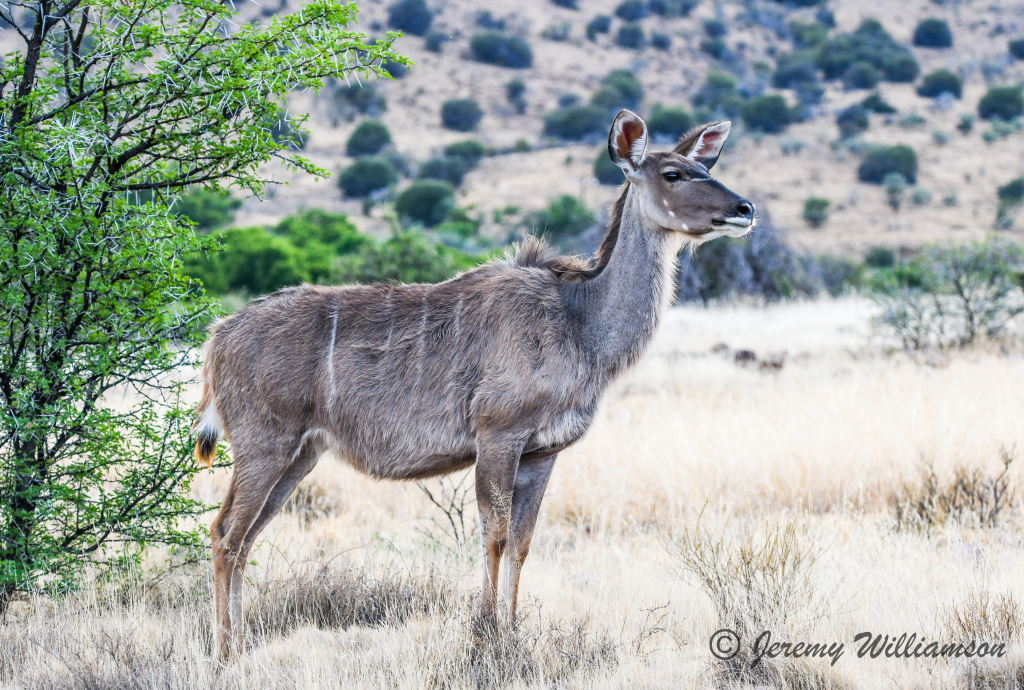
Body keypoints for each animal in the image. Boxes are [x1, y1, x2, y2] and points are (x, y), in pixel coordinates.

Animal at [193, 107, 753, 655]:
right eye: (674, 173)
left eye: (705, 166)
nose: (744, 208)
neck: (578, 320)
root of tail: (218, 336)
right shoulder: (498, 435)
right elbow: (496, 534)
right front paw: (487, 636)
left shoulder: (542, 452)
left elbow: (523, 541)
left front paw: (513, 632)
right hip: (265, 444)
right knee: (225, 532)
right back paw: (223, 654)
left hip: (300, 455)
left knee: (245, 537)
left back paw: (240, 645)